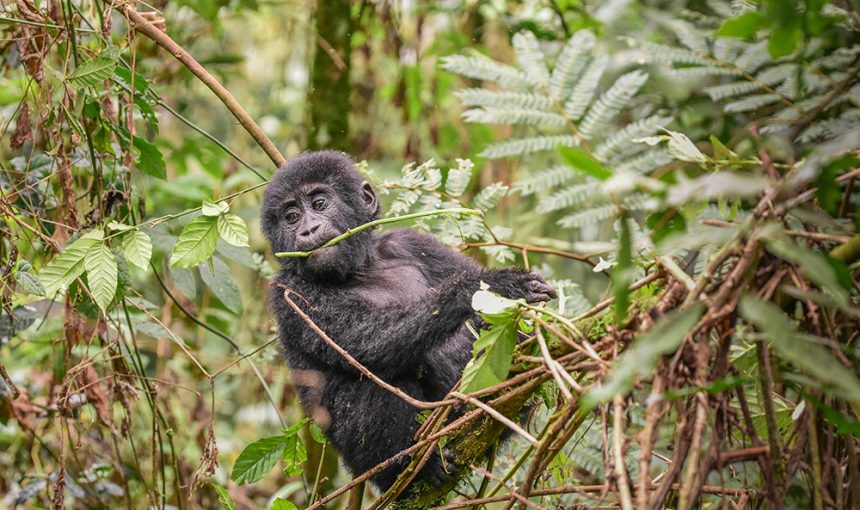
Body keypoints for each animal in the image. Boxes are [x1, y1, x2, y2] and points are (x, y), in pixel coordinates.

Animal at [261, 151, 556, 492]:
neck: (361, 266)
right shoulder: (289, 290)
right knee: (377, 375)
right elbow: (370, 341)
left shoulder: (411, 242)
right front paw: (493, 286)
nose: (307, 231)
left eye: (319, 203)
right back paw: (417, 466)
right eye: (291, 216)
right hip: (372, 466)